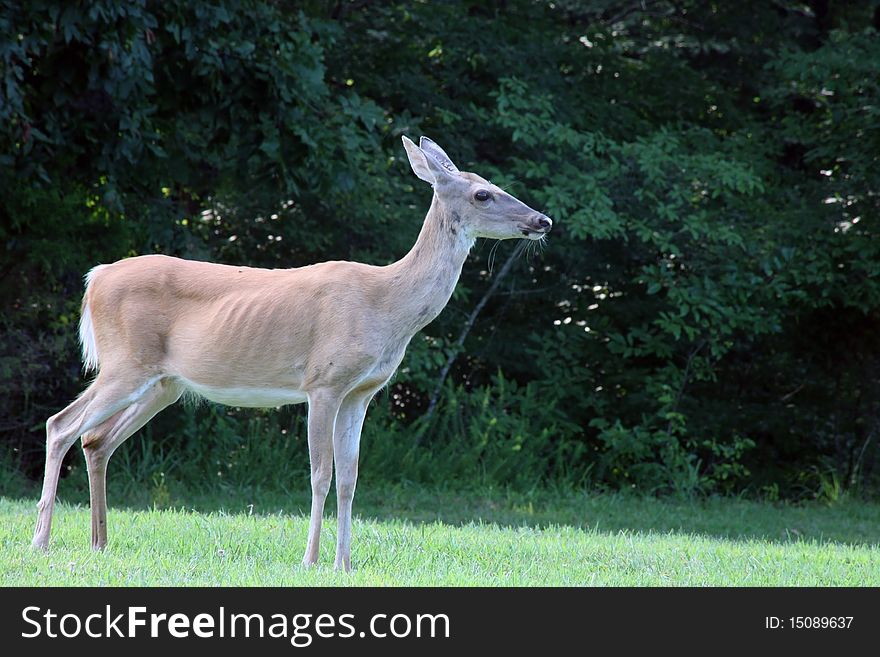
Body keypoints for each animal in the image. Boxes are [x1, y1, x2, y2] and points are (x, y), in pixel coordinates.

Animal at [32, 137, 552, 568]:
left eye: (496, 185)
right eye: (482, 194)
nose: (542, 220)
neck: (386, 304)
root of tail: (95, 277)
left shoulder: (361, 392)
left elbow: (350, 476)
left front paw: (344, 564)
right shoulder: (323, 382)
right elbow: (320, 473)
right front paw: (311, 560)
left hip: (164, 384)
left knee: (96, 440)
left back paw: (100, 543)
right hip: (126, 363)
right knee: (60, 425)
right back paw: (42, 541)